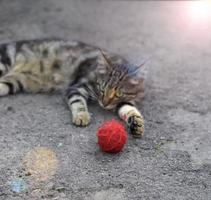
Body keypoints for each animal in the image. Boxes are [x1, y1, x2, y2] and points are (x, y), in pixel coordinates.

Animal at [0, 38, 146, 138]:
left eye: (119, 94)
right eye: (102, 88)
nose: (104, 104)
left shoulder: (126, 100)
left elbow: (130, 109)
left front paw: (136, 123)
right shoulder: (76, 87)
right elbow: (78, 102)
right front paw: (82, 116)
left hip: (14, 83)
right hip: (4, 62)